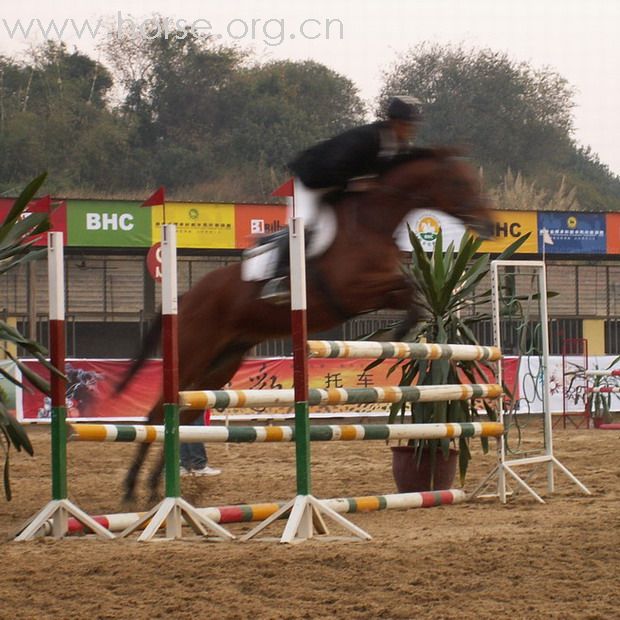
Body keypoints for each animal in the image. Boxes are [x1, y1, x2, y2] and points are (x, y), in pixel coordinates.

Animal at [121, 148, 494, 502]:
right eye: (458, 183)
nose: (488, 226)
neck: (372, 222)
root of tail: (184, 297)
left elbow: (409, 293)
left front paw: (402, 334)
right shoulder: (352, 289)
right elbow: (408, 287)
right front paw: (399, 334)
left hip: (221, 364)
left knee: (183, 416)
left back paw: (155, 487)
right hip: (193, 353)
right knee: (157, 414)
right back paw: (132, 488)